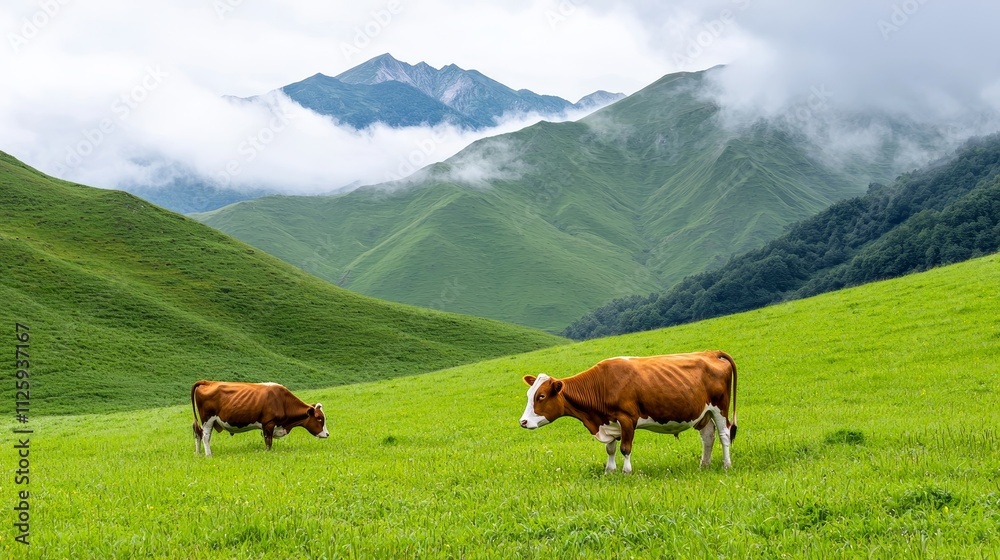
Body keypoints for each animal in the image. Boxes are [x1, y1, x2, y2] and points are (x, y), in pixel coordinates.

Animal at [191, 380, 329, 456]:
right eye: (319, 418)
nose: (327, 434)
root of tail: (208, 381)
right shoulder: (268, 423)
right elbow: (268, 442)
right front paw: (268, 453)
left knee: (198, 433)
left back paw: (198, 453)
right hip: (208, 420)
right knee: (205, 436)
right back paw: (208, 454)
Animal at [519, 351, 738, 473]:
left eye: (541, 396)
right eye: (529, 394)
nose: (523, 422)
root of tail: (711, 352)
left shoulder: (627, 419)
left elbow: (625, 448)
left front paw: (626, 471)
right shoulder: (609, 422)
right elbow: (610, 449)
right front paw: (610, 470)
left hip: (720, 407)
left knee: (724, 434)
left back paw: (727, 465)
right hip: (703, 413)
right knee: (708, 436)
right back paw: (704, 465)